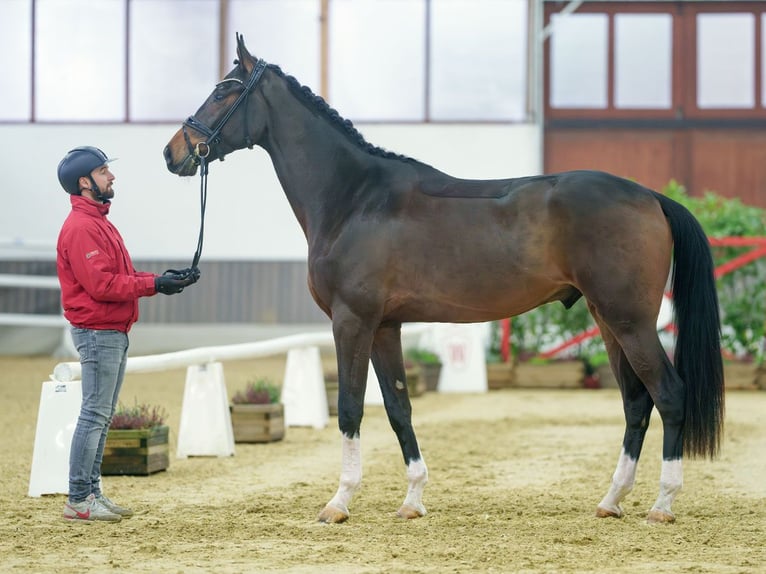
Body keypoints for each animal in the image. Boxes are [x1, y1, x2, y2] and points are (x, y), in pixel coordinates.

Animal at [164, 35, 728, 528]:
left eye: (223, 90)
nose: (174, 152)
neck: (354, 197)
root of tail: (651, 196)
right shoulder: (385, 326)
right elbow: (398, 408)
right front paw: (412, 500)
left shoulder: (352, 321)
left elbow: (350, 408)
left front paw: (338, 503)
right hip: (608, 320)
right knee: (636, 401)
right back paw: (611, 501)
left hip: (629, 320)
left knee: (669, 394)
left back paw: (662, 504)